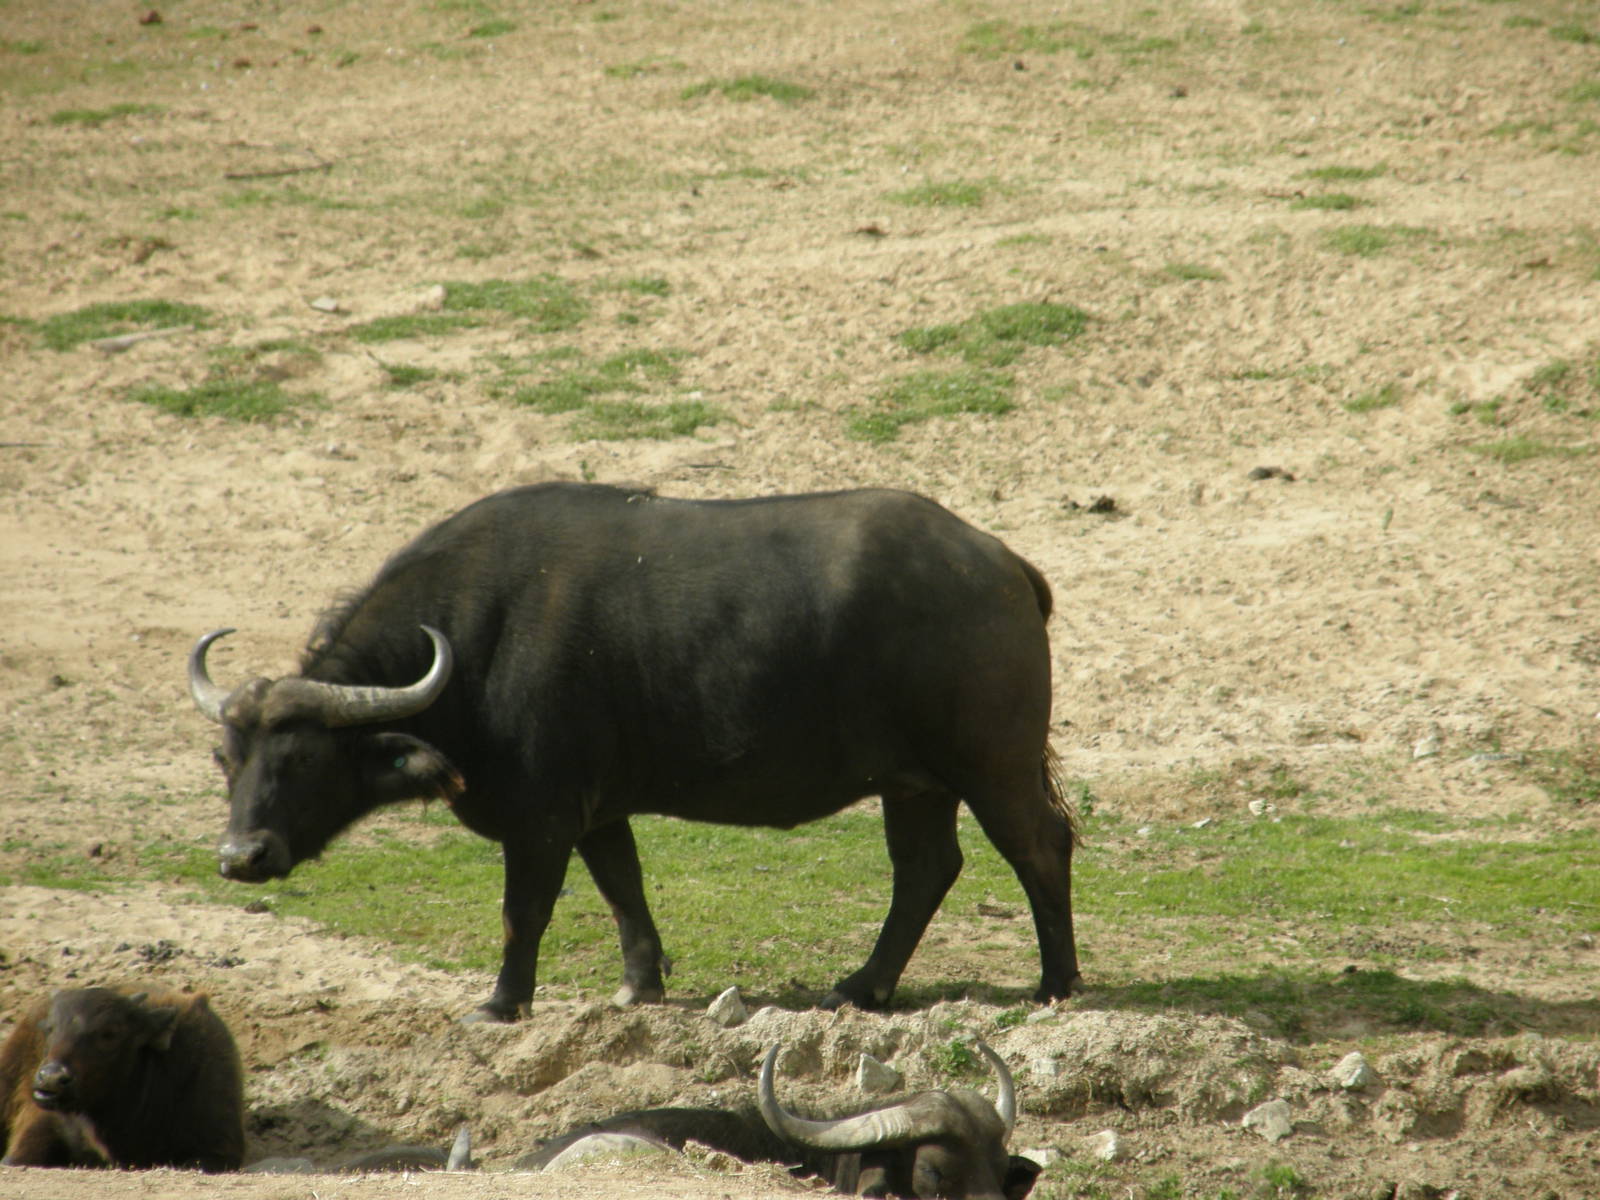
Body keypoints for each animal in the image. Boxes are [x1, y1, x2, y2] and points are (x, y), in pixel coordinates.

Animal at [189, 484, 1080, 1021]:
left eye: (303, 760)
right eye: (229, 761)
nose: (241, 857)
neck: (475, 644)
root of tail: (1001, 562)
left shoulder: (542, 817)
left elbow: (524, 913)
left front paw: (502, 1002)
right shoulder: (595, 810)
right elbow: (623, 887)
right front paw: (640, 985)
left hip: (992, 766)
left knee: (1040, 846)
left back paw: (1057, 981)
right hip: (915, 783)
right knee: (927, 869)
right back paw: (863, 986)